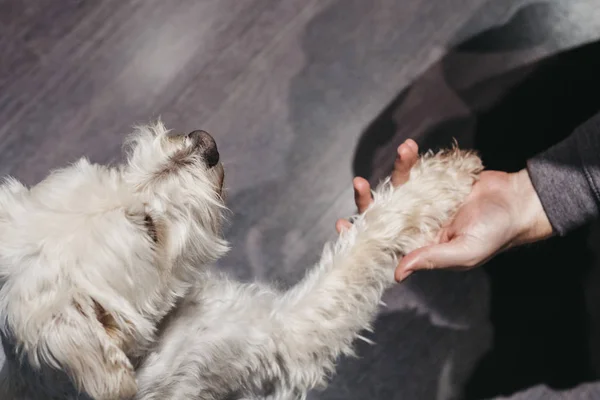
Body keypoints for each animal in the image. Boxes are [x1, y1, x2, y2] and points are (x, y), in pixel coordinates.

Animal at [0, 122, 480, 400]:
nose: (205, 144)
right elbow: (358, 252)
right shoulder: (276, 340)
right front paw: (432, 184)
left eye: (108, 174)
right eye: (150, 229)